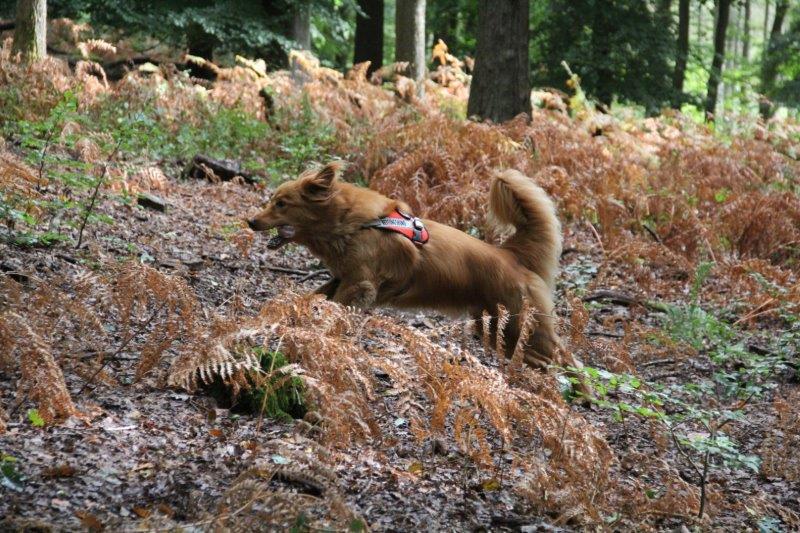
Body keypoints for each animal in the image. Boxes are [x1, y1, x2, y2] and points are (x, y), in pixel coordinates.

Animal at [247, 162, 570, 371]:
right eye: (272, 200)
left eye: (281, 204)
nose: (250, 221)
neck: (351, 224)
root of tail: (511, 255)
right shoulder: (342, 278)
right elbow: (313, 297)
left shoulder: (359, 284)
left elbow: (333, 308)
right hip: (494, 328)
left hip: (521, 329)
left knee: (559, 357)